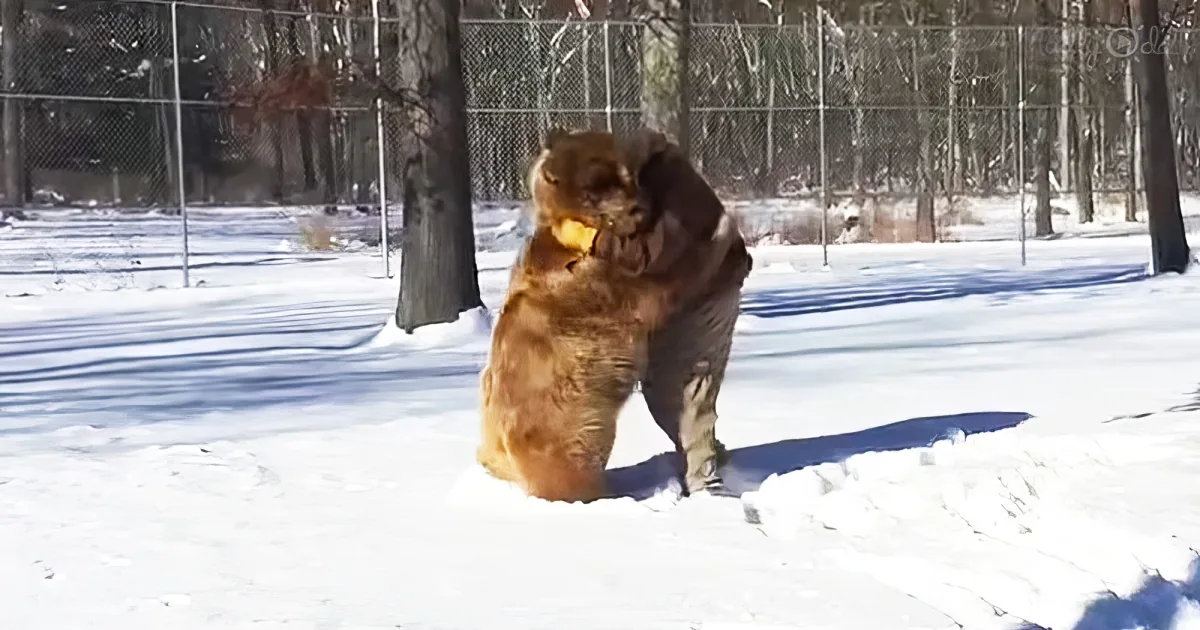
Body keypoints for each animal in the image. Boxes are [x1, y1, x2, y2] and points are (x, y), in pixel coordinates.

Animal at [475, 128, 740, 503]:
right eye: (604, 181)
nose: (641, 205)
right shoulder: (619, 285)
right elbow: (673, 270)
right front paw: (718, 234)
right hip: (567, 443)